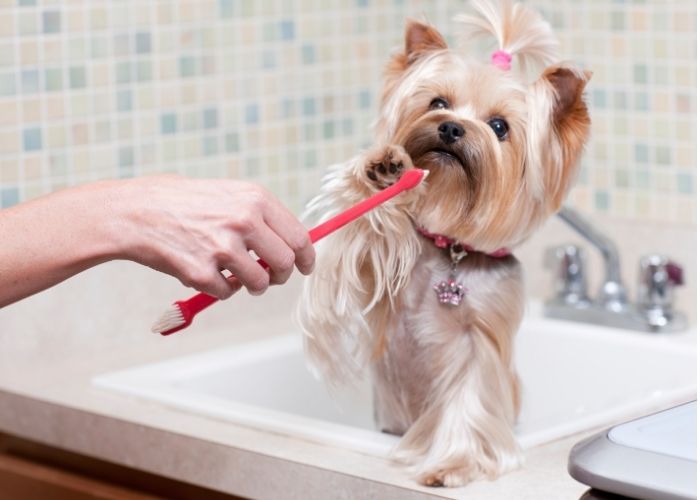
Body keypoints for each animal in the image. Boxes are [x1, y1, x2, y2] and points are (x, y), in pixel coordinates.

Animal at [298, 0, 588, 486]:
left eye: (499, 126)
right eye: (437, 102)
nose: (451, 128)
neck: (451, 248)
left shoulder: (481, 337)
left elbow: (469, 397)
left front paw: (452, 465)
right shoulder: (374, 267)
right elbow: (362, 230)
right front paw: (381, 169)